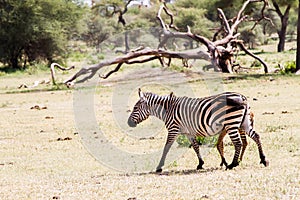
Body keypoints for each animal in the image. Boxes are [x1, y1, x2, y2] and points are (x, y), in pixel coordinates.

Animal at [127, 88, 268, 172]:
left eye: (135, 108)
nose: (129, 123)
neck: (168, 109)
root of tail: (242, 96)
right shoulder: (188, 132)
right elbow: (195, 147)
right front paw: (200, 164)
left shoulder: (173, 129)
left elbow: (166, 148)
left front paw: (159, 167)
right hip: (244, 123)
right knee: (256, 136)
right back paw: (263, 159)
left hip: (231, 123)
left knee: (238, 143)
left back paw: (233, 164)